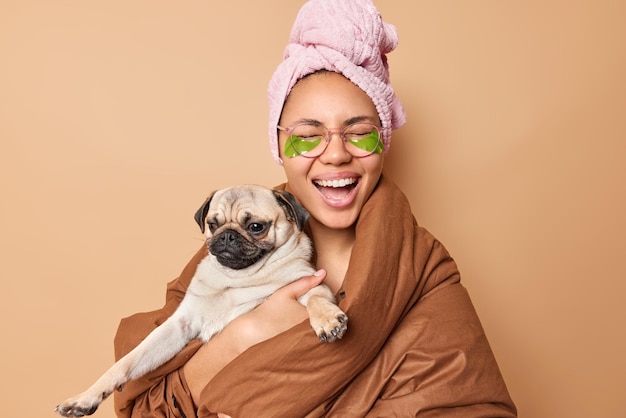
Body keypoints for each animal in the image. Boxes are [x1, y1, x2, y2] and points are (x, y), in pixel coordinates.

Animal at [54, 185, 346, 416]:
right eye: (213, 224)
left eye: (256, 227)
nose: (226, 235)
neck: (237, 279)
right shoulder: (179, 326)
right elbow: (127, 362)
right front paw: (85, 398)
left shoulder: (310, 284)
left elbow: (316, 299)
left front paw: (328, 320)